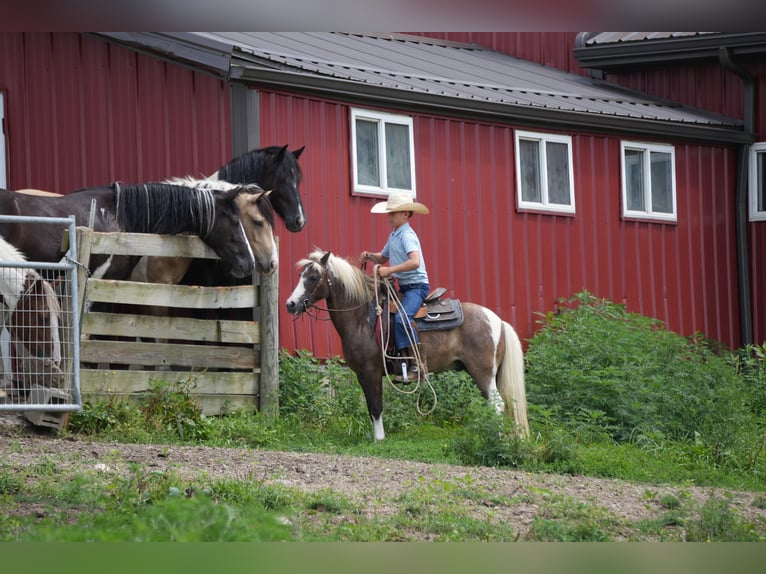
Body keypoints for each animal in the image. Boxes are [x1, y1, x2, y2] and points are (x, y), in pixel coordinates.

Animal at [285, 249, 529, 441]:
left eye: (313, 277)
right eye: (300, 275)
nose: (291, 304)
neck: (363, 318)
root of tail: (498, 321)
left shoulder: (371, 371)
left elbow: (376, 406)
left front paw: (380, 440)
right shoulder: (361, 374)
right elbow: (370, 406)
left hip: (483, 372)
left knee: (497, 405)